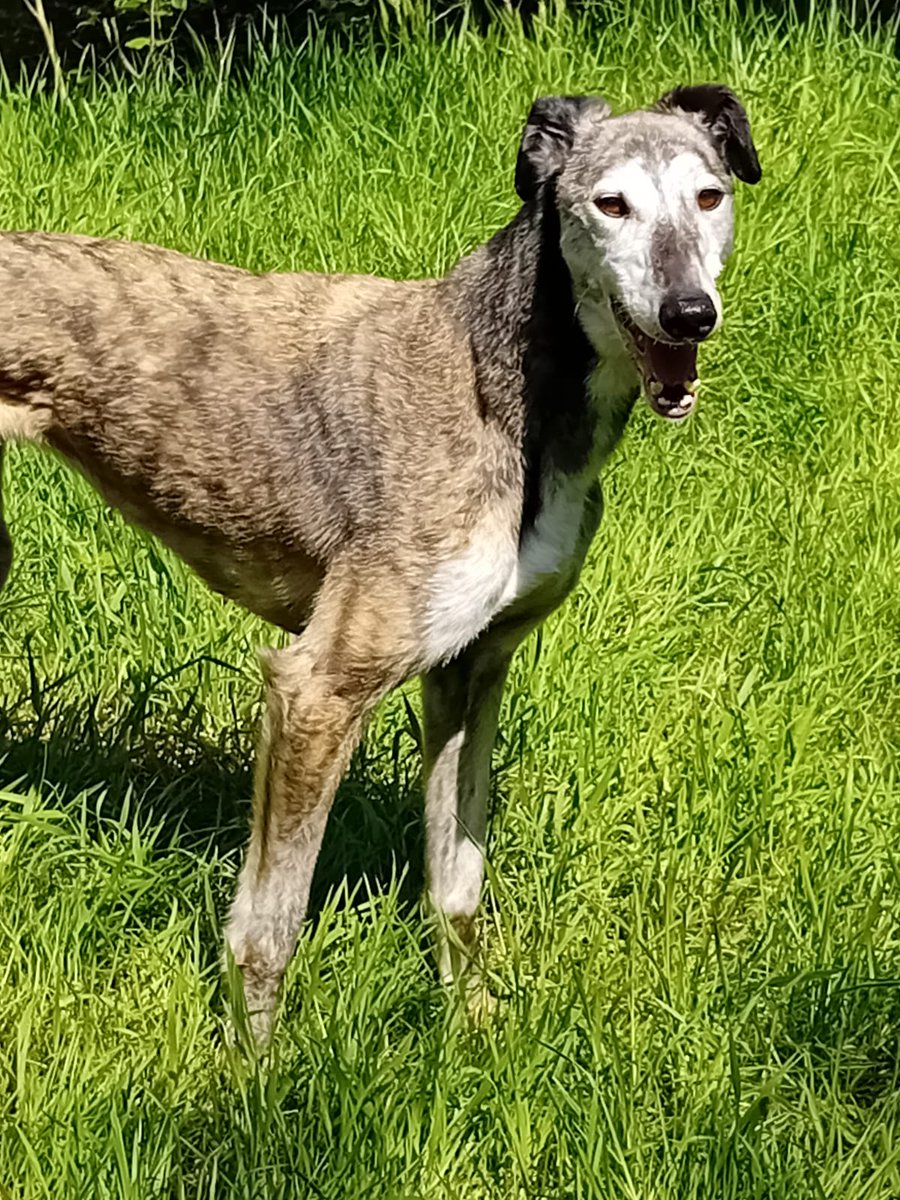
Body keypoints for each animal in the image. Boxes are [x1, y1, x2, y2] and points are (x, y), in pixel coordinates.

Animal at [0, 84, 763, 1041]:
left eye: (710, 196)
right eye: (610, 204)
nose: (689, 313)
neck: (501, 387)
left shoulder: (471, 670)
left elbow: (457, 885)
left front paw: (472, 1034)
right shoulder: (318, 690)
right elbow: (267, 929)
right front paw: (249, 1075)